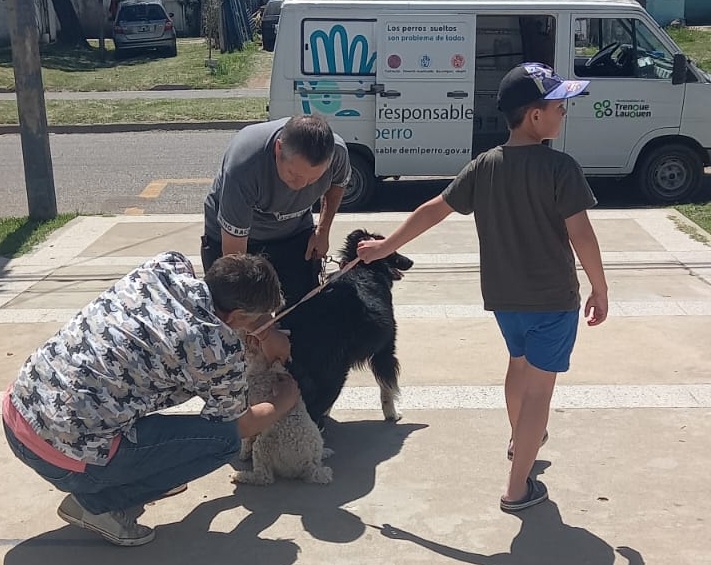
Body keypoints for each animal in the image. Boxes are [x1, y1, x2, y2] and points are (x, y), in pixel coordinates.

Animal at [232, 348, 336, 484]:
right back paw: (325, 452)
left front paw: (243, 453)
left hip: (263, 445)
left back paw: (241, 476)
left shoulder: (250, 411)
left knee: (264, 477)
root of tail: (310, 467)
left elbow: (246, 437)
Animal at [280, 227, 414, 426]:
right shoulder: (385, 348)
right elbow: (387, 388)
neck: (365, 268)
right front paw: (392, 414)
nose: (410, 262)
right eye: (393, 251)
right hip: (333, 373)